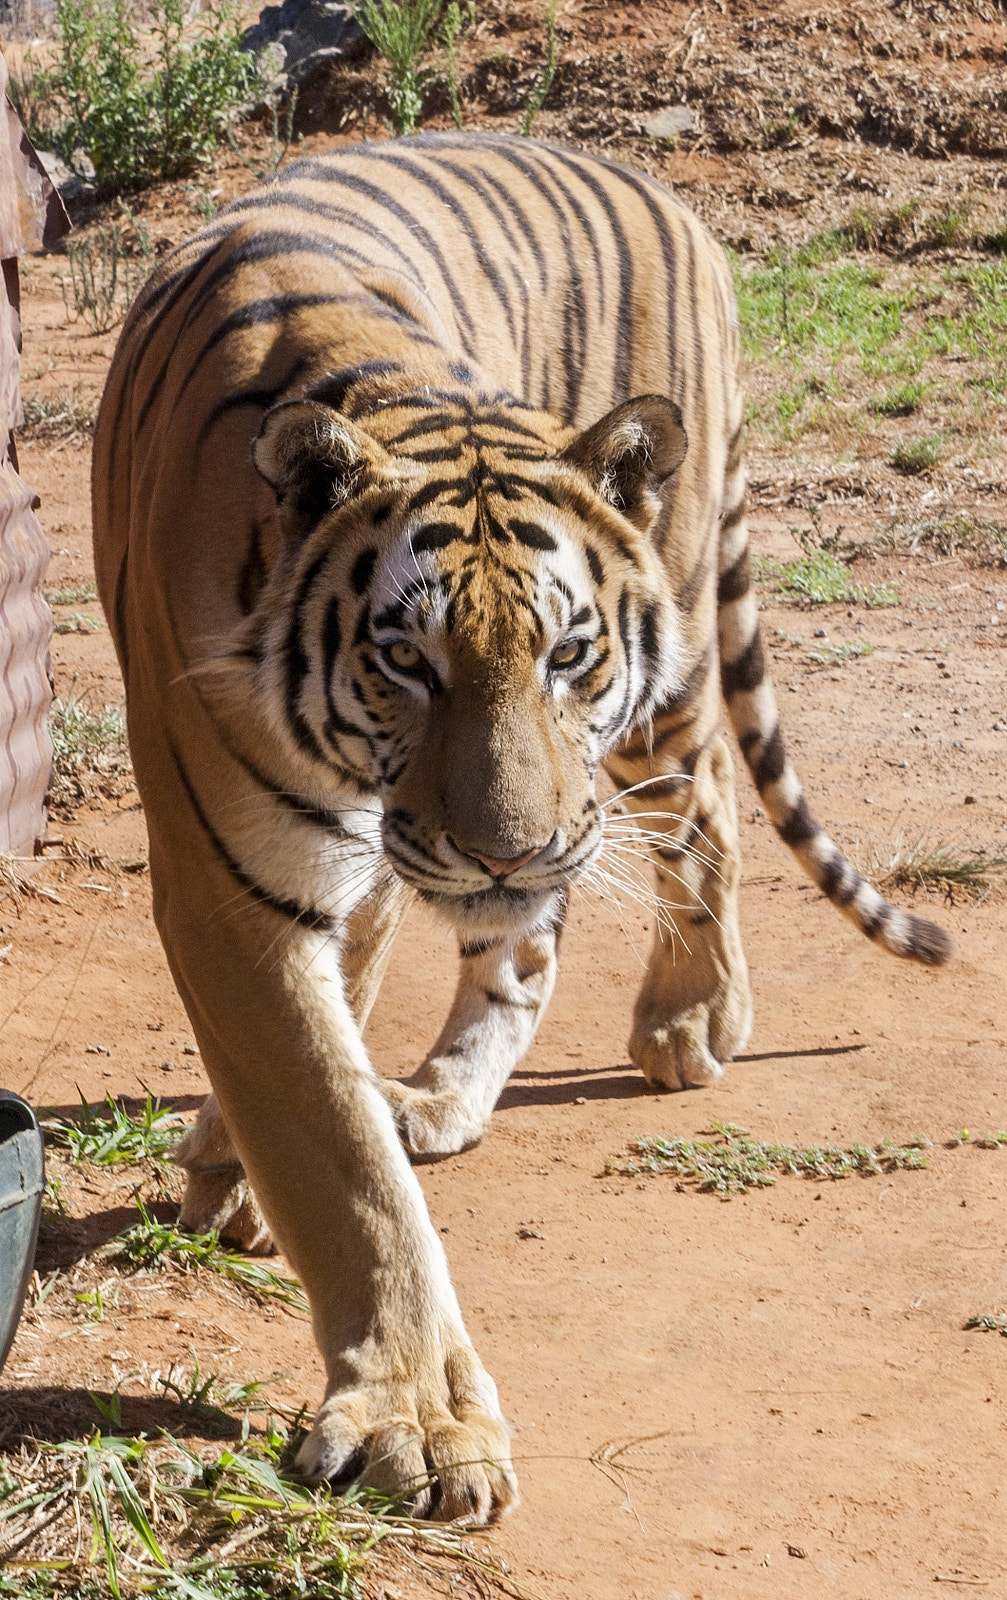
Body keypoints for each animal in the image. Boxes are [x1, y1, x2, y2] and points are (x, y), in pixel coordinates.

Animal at [92, 130, 951, 1524]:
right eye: (407, 659)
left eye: (564, 653)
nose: (509, 848)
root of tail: (658, 189)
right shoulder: (244, 874)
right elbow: (332, 1124)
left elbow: (334, 1137)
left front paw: (415, 1423)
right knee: (528, 941)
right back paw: (449, 1089)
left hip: (658, 688)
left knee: (703, 800)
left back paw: (687, 1021)